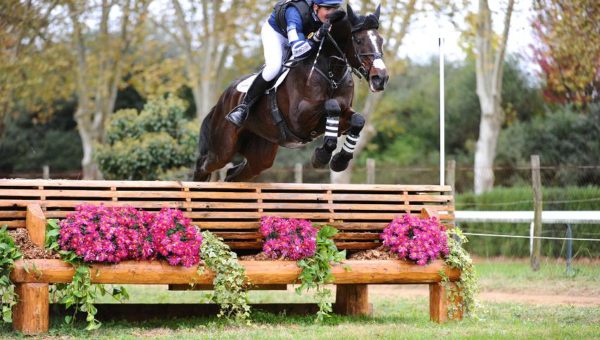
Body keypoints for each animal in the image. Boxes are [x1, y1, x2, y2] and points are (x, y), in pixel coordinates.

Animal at [192, 3, 390, 182]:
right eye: (358, 40)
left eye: (381, 40)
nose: (380, 78)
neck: (331, 72)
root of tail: (222, 99)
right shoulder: (299, 118)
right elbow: (331, 106)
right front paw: (322, 156)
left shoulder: (343, 115)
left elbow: (358, 120)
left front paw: (340, 160)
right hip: (223, 148)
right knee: (203, 165)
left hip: (261, 153)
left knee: (234, 174)